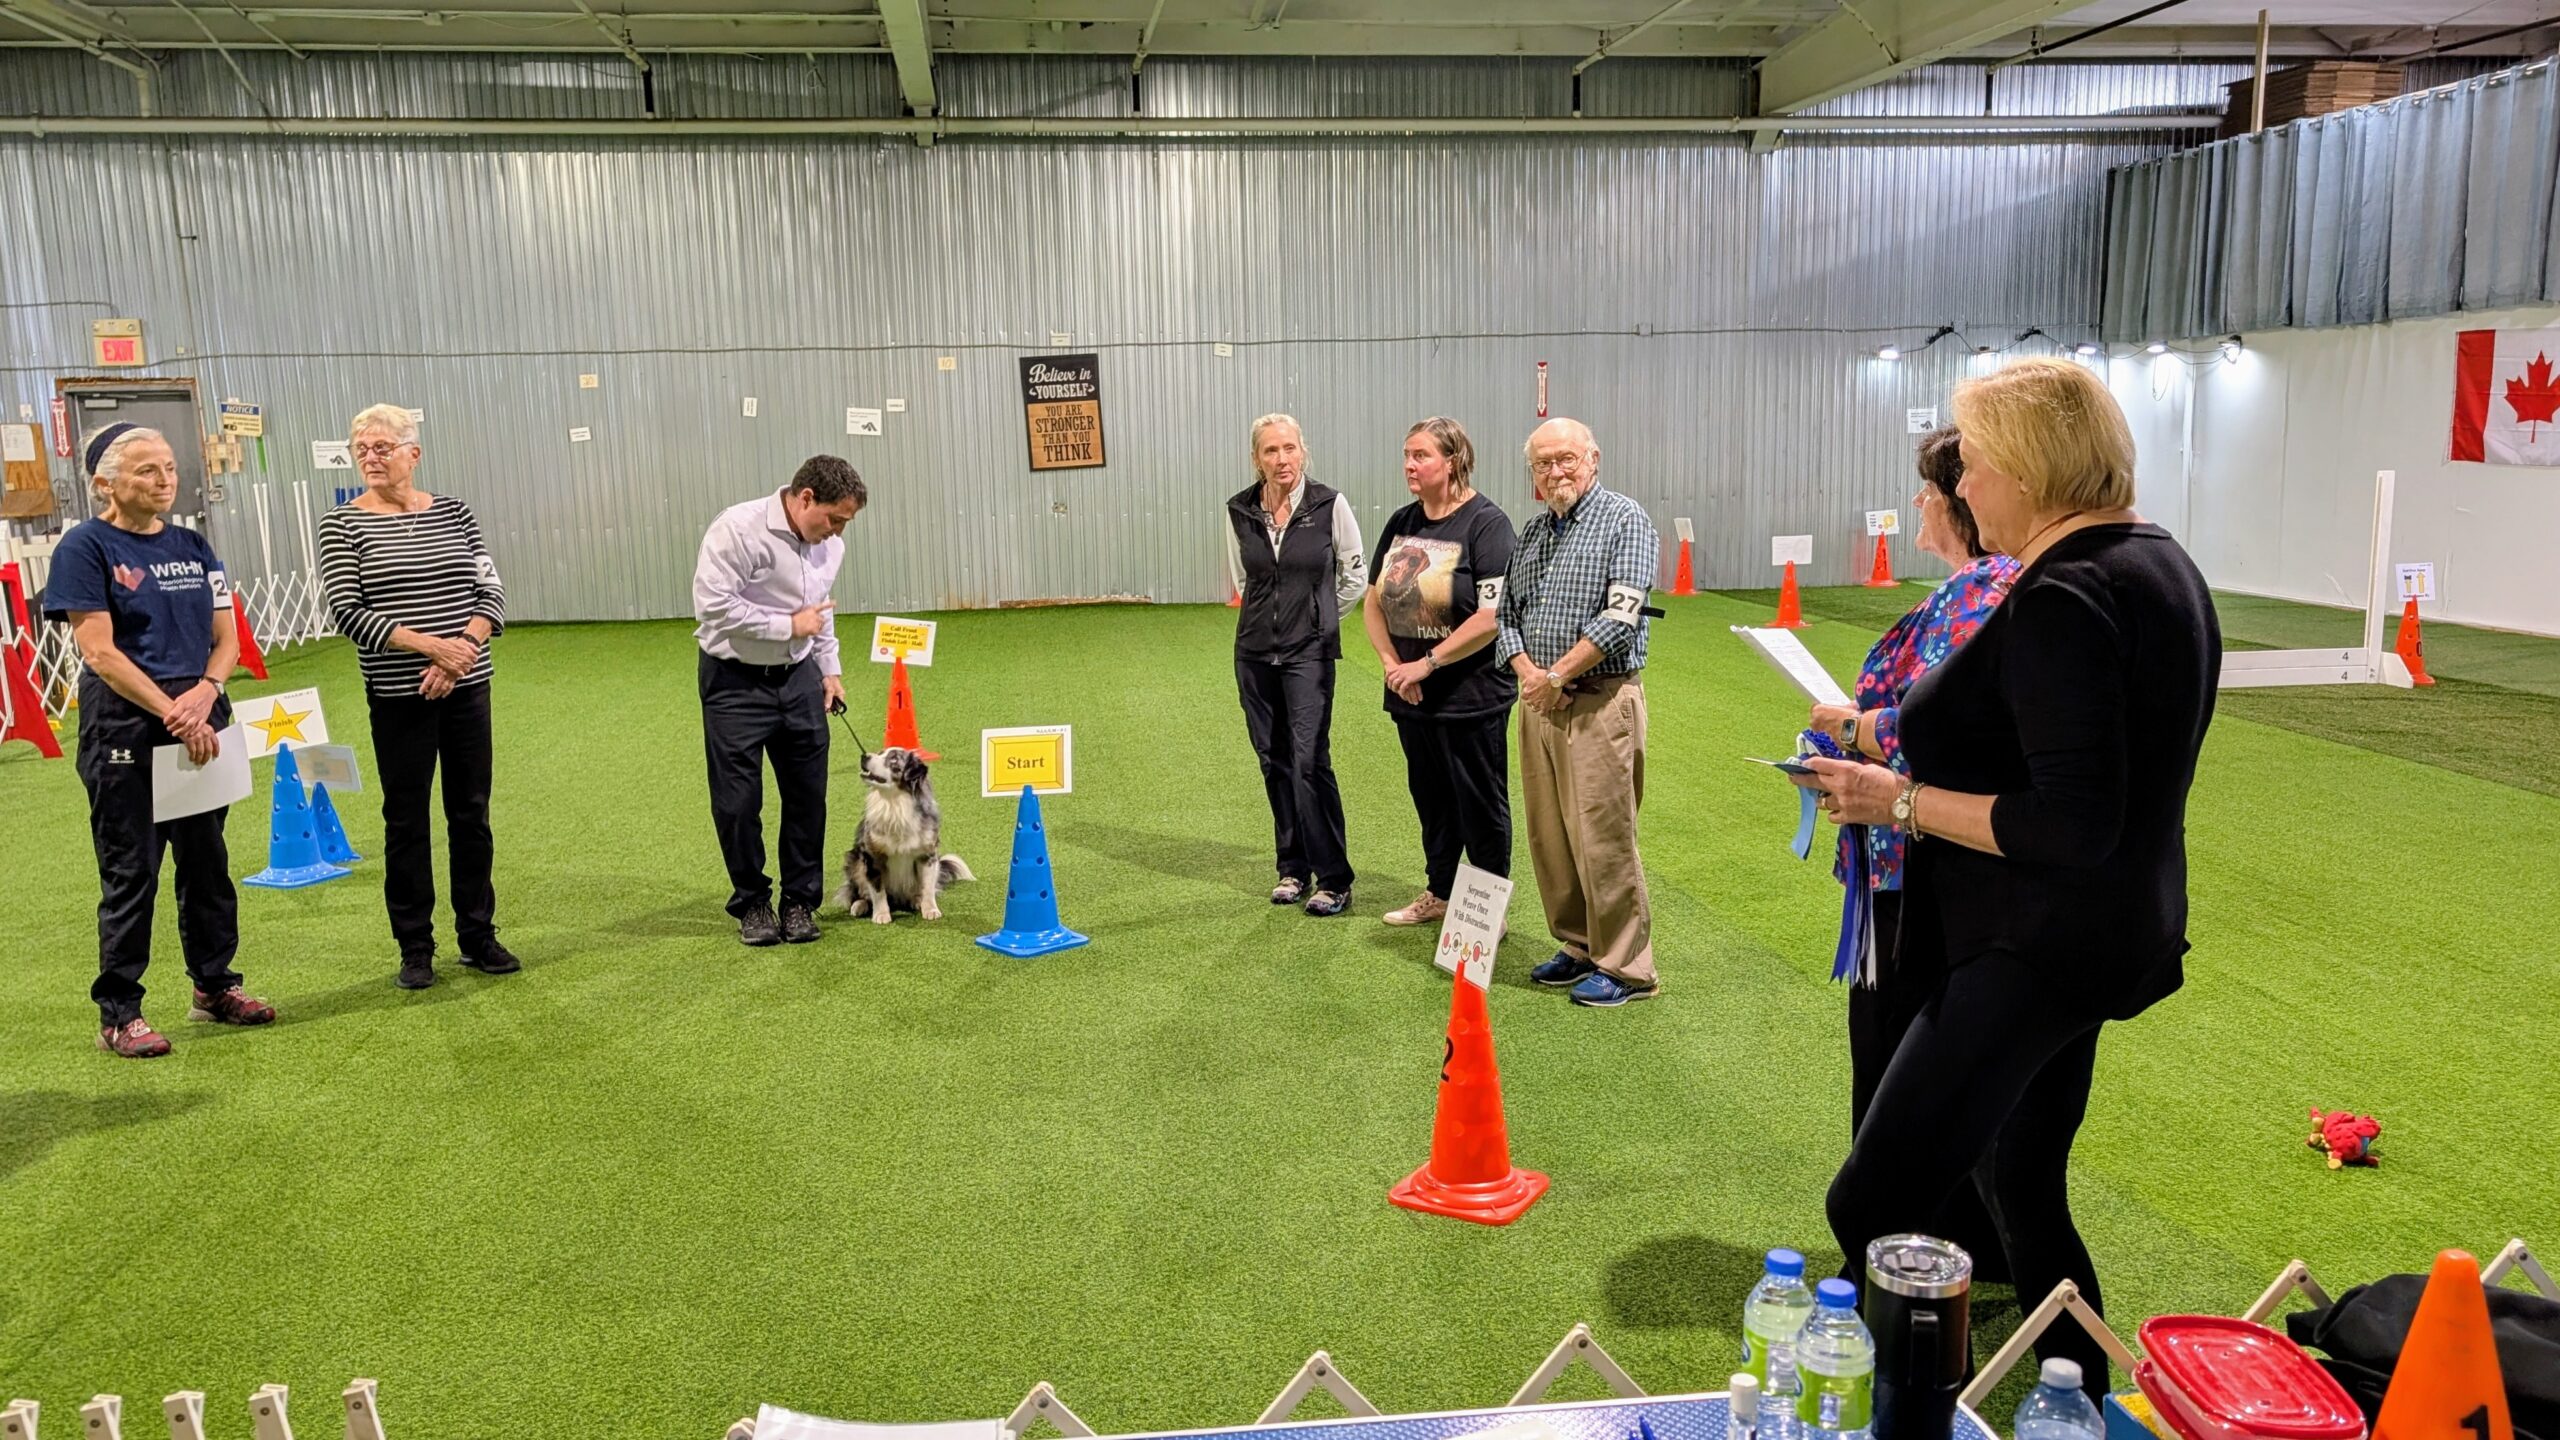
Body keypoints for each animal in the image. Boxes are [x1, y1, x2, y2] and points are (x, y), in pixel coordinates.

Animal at [833, 746, 974, 923]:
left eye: (894, 759)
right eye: (880, 753)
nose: (864, 756)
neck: (894, 804)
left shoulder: (927, 855)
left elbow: (928, 888)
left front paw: (931, 910)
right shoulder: (872, 856)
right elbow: (878, 890)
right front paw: (881, 915)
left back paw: (916, 900)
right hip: (855, 862)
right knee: (857, 891)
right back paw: (859, 905)